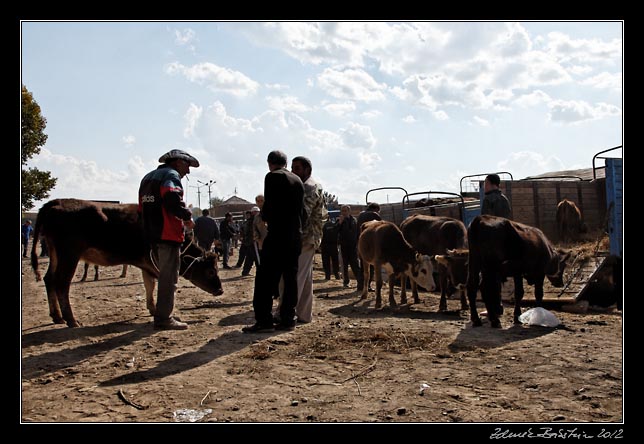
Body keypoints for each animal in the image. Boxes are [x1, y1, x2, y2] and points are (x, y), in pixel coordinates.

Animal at [30, 199, 224, 328]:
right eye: (210, 271)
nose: (220, 290)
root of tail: (55, 203)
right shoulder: (155, 263)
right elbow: (157, 285)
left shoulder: (147, 265)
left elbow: (149, 286)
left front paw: (152, 308)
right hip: (69, 254)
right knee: (61, 283)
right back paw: (71, 320)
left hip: (55, 253)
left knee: (49, 280)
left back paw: (57, 316)